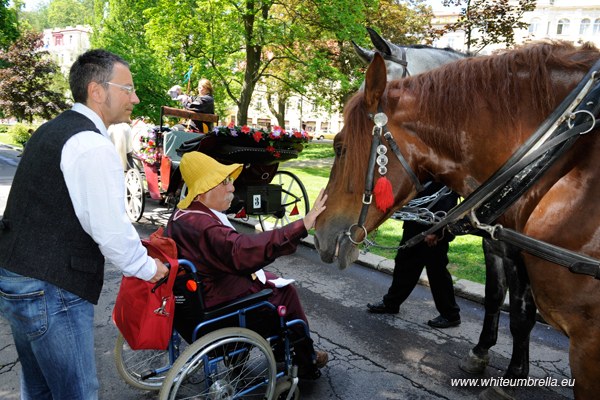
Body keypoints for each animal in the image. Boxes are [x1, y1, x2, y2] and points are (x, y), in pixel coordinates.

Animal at [312, 42, 600, 398]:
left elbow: (521, 310)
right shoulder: (497, 243)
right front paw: (482, 352)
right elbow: (495, 296)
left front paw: (516, 371)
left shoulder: (586, 338)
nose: (318, 232)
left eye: (340, 147)